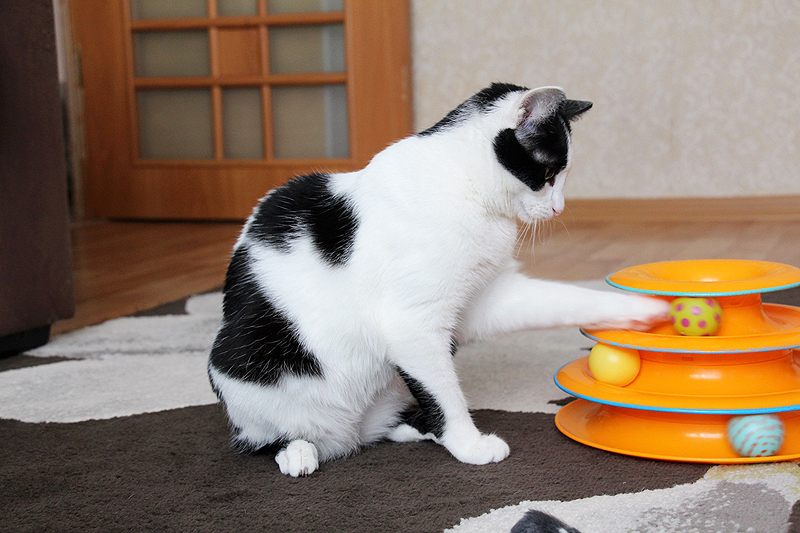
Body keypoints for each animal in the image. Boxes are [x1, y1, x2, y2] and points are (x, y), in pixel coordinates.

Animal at [208, 83, 669, 477]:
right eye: (549, 175)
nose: (559, 209)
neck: (467, 189)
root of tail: (348, 436)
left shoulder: (482, 298)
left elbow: (564, 299)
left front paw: (643, 311)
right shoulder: (413, 324)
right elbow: (445, 393)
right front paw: (470, 445)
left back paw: (403, 428)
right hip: (241, 372)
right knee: (266, 438)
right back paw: (299, 452)